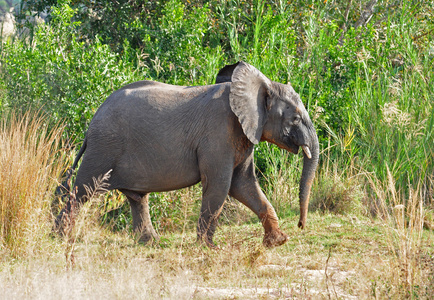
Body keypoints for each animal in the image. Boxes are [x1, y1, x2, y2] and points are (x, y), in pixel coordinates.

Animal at [55, 61, 318, 248]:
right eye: (295, 118)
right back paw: (59, 237)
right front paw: (209, 248)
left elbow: (244, 185)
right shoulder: (218, 133)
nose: (301, 224)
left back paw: (151, 243)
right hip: (104, 148)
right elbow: (220, 185)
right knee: (83, 190)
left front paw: (278, 241)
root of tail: (91, 124)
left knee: (136, 198)